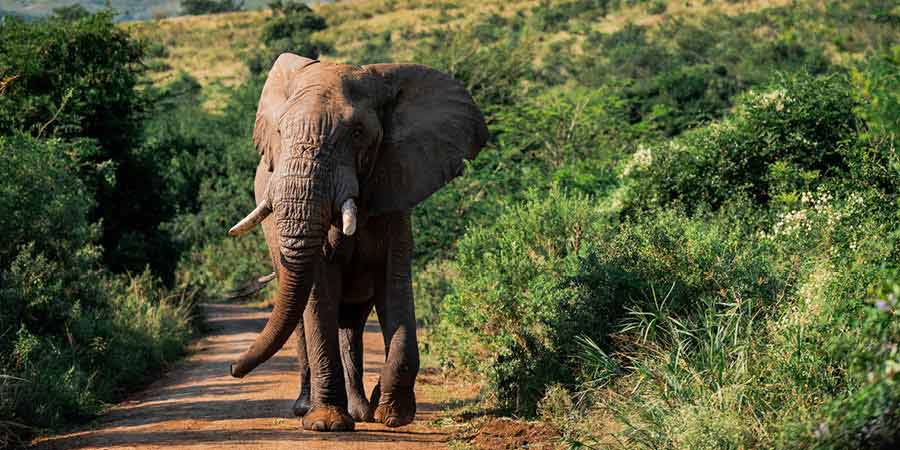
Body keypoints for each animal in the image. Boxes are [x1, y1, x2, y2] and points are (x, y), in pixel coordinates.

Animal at [227, 53, 488, 432]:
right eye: (280, 131)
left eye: (358, 132)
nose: (232, 368)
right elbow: (319, 290)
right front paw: (326, 425)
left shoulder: (395, 195)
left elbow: (395, 286)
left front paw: (393, 415)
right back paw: (306, 409)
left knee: (351, 324)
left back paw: (362, 411)